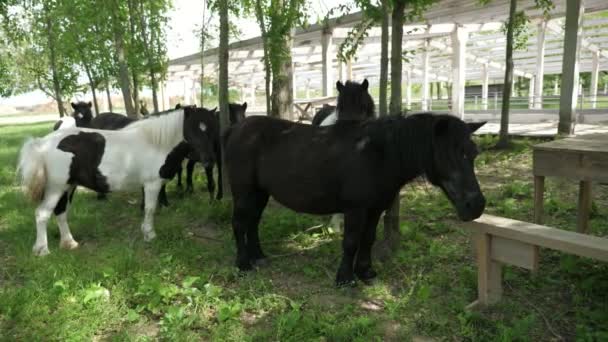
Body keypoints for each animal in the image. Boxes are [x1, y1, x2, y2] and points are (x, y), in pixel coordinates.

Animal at [17, 106, 213, 254]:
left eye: (211, 128)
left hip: (68, 187)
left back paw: (69, 243)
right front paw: (150, 235)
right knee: (42, 214)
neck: (155, 143)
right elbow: (150, 209)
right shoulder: (152, 184)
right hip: (56, 188)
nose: (209, 160)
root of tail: (42, 144)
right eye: (193, 128)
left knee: (61, 212)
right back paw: (42, 250)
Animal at [226, 112, 486, 286]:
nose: (476, 206)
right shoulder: (355, 209)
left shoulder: (375, 208)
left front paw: (365, 272)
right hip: (244, 192)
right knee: (240, 223)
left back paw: (258, 257)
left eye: (474, 153)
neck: (378, 153)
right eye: (449, 154)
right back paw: (243, 263)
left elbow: (367, 239)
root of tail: (237, 128)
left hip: (260, 192)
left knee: (253, 223)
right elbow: (351, 241)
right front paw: (345, 278)